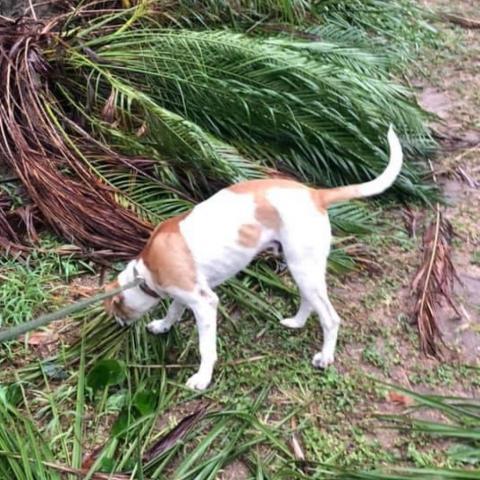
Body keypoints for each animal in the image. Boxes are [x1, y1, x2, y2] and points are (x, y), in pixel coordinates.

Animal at [104, 126, 402, 390]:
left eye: (116, 310)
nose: (117, 326)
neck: (145, 271)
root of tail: (315, 194)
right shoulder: (185, 294)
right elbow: (173, 311)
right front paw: (163, 326)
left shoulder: (205, 302)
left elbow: (206, 348)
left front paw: (202, 378)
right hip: (300, 268)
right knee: (309, 300)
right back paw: (296, 322)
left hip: (304, 268)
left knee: (330, 318)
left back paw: (325, 357)